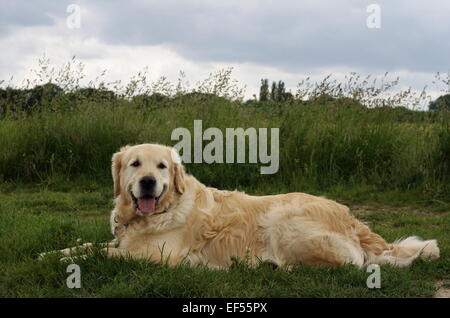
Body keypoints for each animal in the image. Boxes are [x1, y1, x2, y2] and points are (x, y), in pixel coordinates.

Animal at [39, 144, 440, 268]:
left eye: (162, 166)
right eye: (136, 164)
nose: (148, 182)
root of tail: (350, 217)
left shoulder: (156, 256)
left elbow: (102, 254)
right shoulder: (122, 240)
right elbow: (86, 246)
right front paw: (49, 254)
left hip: (283, 220)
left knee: (352, 263)